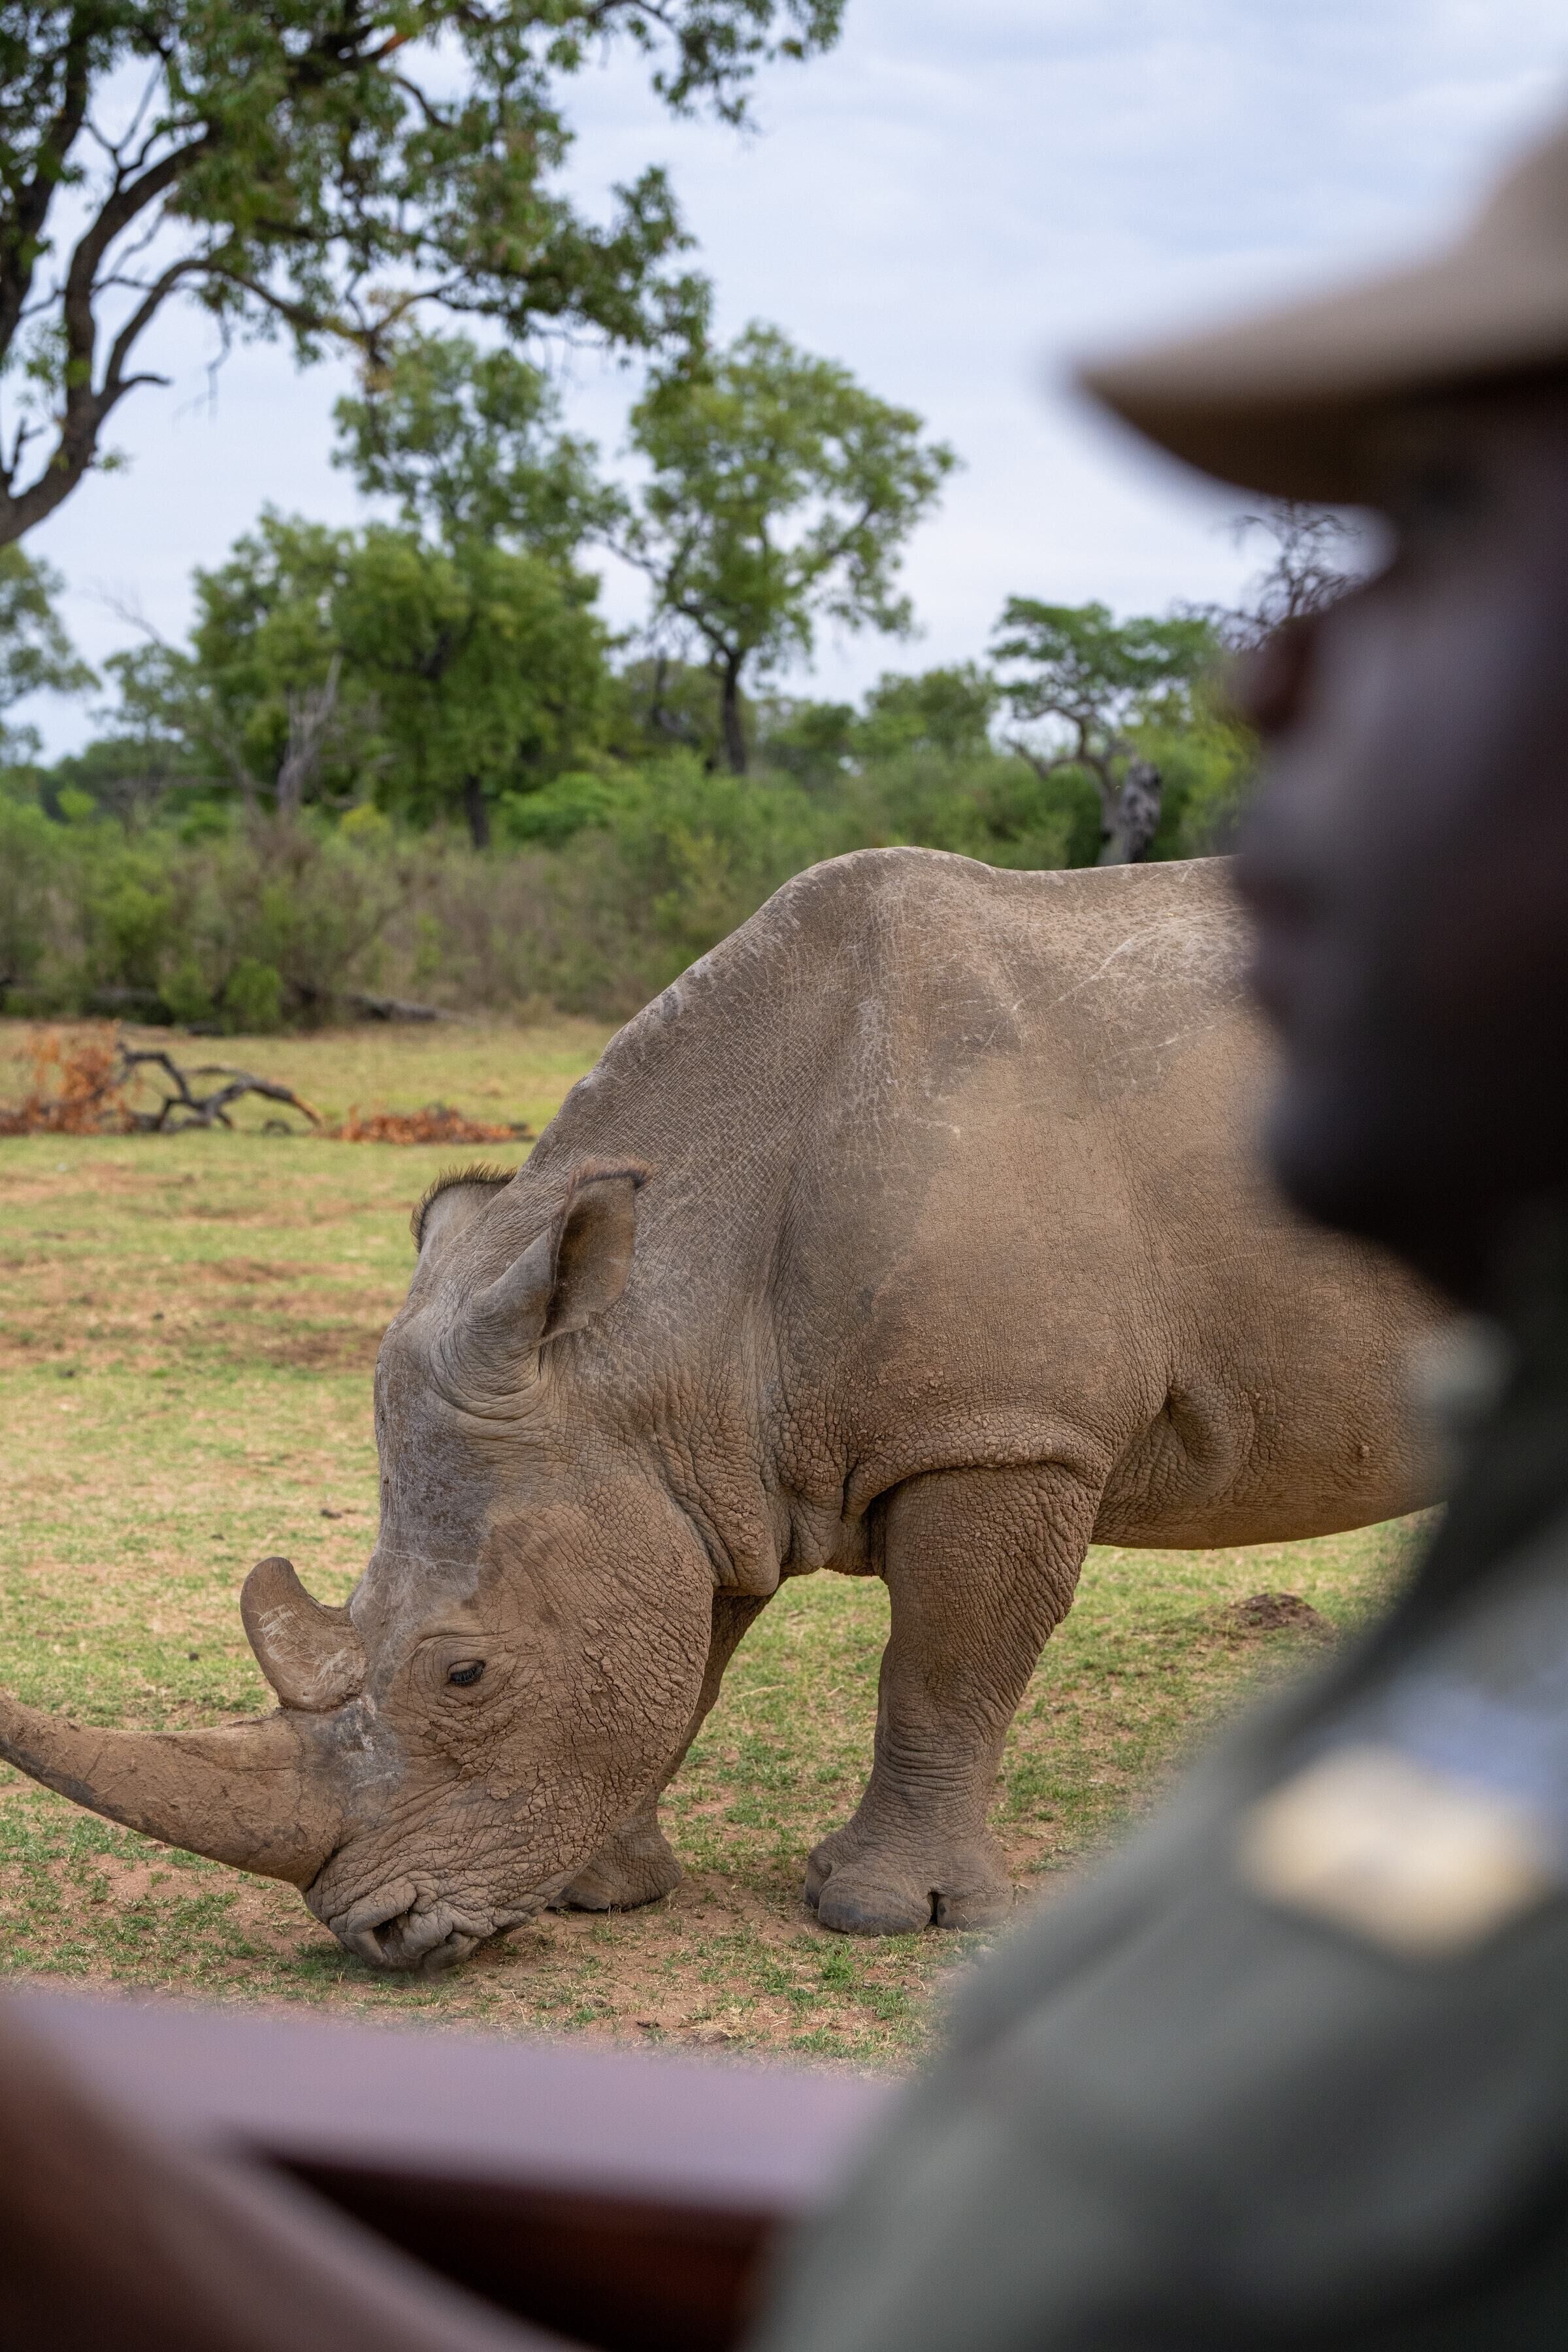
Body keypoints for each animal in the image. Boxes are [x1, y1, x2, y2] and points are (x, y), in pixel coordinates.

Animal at [0, 851, 1438, 1971]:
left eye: (466, 1673)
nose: (380, 1935)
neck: (665, 1325)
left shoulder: (1003, 1430)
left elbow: (945, 1667)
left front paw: (884, 1915)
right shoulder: (689, 1465)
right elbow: (692, 1656)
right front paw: (599, 1892)